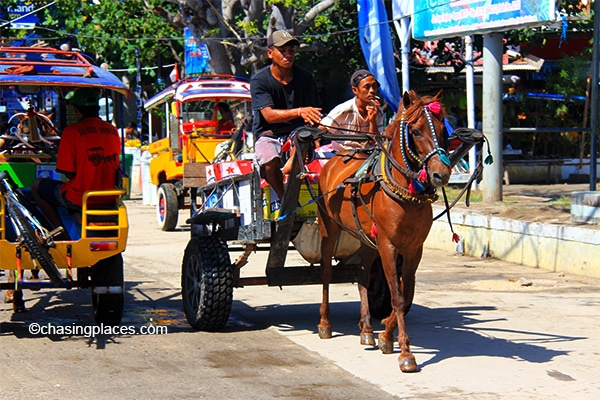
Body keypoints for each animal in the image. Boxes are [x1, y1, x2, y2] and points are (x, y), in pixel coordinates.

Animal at [318, 89, 450, 374]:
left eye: (444, 130)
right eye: (416, 131)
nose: (441, 174)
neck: (404, 190)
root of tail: (333, 160)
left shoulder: (413, 249)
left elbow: (404, 292)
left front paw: (385, 336)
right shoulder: (389, 245)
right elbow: (398, 297)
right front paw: (406, 354)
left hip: (367, 240)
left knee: (362, 277)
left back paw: (367, 329)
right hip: (329, 228)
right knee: (325, 273)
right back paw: (324, 323)